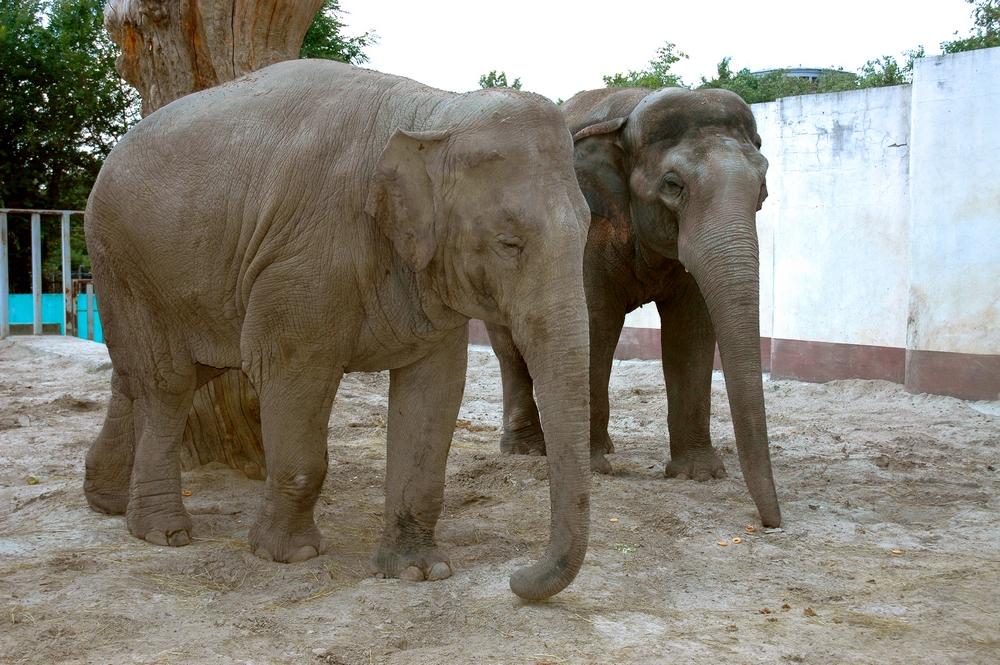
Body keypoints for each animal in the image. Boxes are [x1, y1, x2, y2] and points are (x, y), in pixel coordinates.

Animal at [84, 57, 592, 600]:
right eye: (508, 243)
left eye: (587, 230)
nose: (516, 579)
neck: (436, 110)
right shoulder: (303, 259)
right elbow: (292, 371)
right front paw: (289, 555)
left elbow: (434, 388)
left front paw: (417, 571)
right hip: (124, 261)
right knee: (168, 382)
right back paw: (162, 533)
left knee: (144, 375)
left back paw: (107, 502)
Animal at [484, 85, 780, 528]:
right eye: (673, 184)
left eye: (762, 186)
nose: (771, 522)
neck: (628, 117)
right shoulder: (584, 224)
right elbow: (594, 321)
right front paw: (593, 470)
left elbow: (691, 332)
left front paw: (699, 474)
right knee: (509, 348)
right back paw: (528, 449)